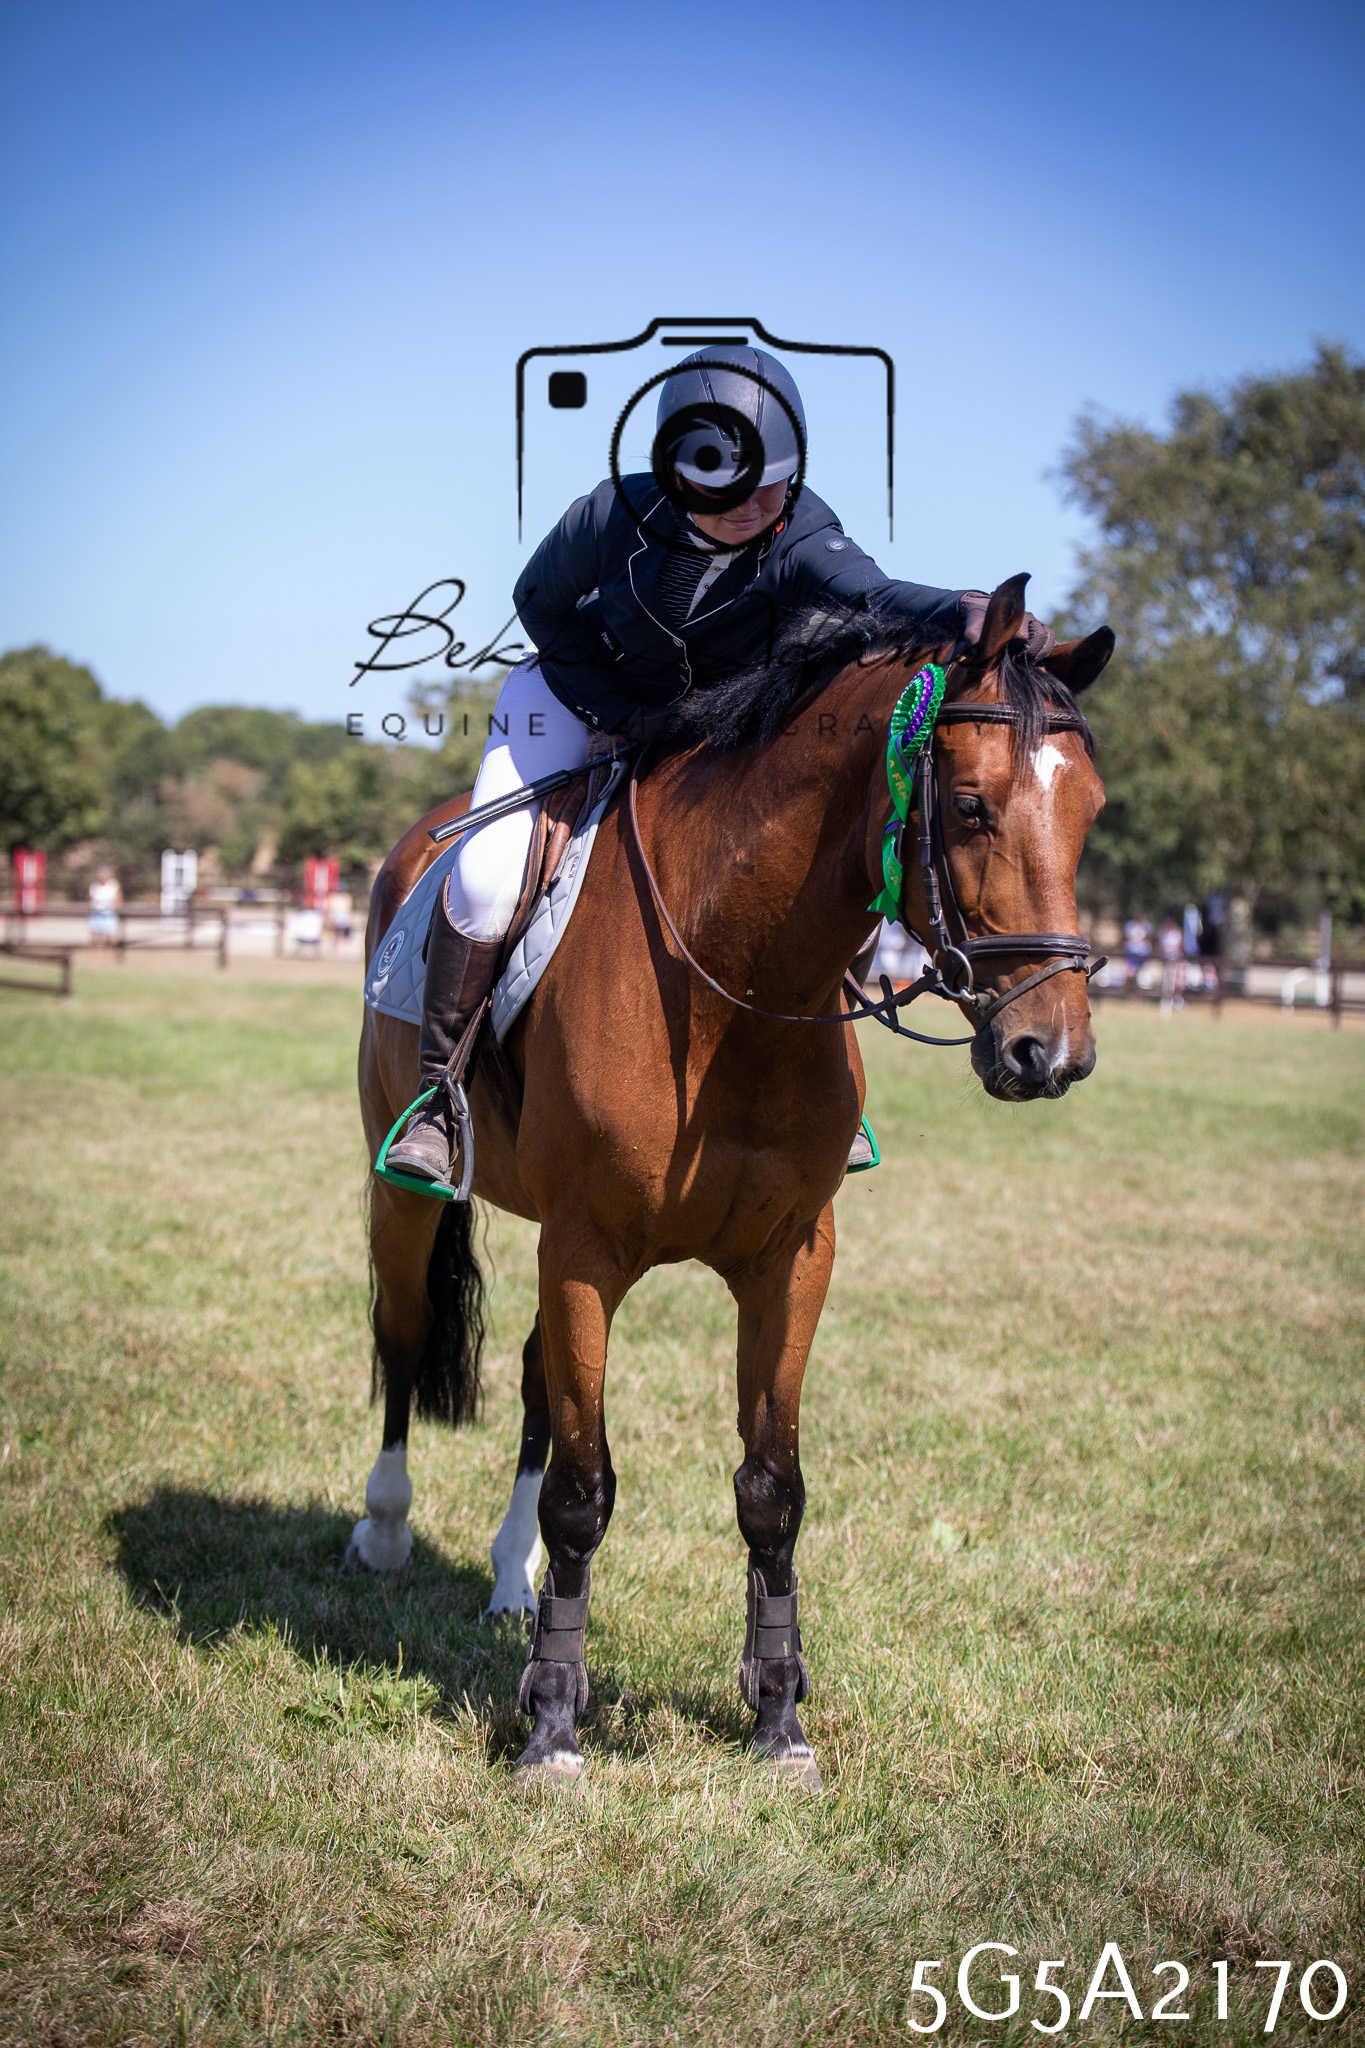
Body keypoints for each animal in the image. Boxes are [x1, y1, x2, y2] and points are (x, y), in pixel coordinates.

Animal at [353, 573, 1114, 1786]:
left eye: (1090, 811)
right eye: (973, 806)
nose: (1054, 1052)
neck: (736, 979)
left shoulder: (789, 1259)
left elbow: (771, 1490)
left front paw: (778, 1716)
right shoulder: (585, 1251)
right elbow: (585, 1491)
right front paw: (553, 1724)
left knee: (530, 1385)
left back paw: (510, 1582)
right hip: (409, 1194)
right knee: (401, 1330)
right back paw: (382, 1529)